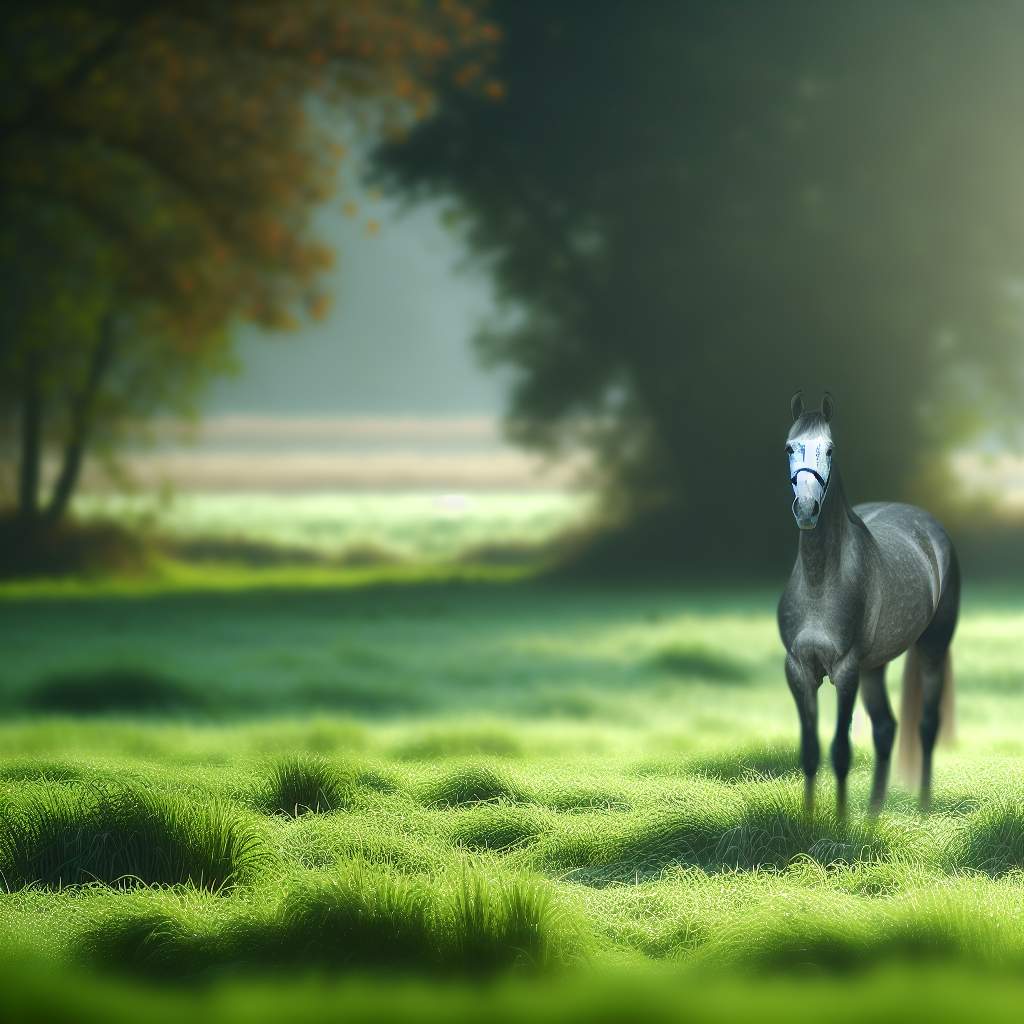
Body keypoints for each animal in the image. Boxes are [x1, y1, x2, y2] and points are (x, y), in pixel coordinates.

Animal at [774, 391, 958, 815]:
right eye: (790, 447)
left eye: (830, 449)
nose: (806, 508)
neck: (820, 581)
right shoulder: (798, 671)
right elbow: (810, 752)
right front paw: (809, 823)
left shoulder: (845, 671)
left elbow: (840, 752)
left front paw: (840, 827)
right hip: (875, 666)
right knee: (886, 728)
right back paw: (874, 813)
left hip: (933, 647)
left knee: (926, 725)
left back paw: (923, 807)